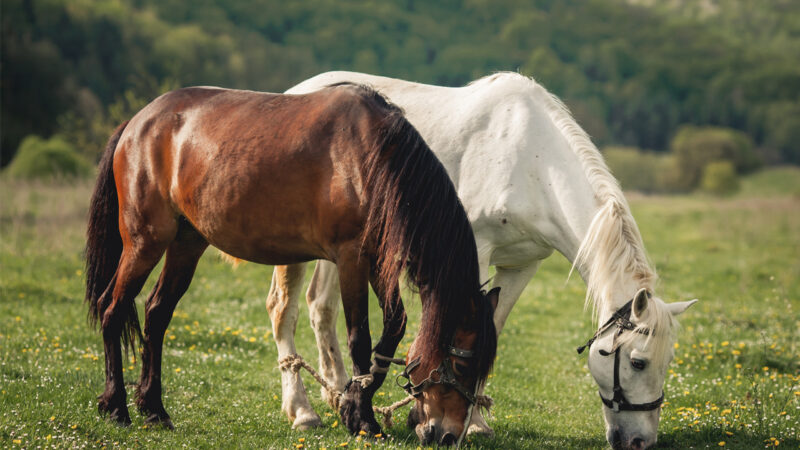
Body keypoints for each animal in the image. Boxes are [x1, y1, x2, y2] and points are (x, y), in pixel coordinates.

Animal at [89, 82, 500, 444]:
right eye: (462, 365)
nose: (447, 435)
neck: (372, 158)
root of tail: (137, 123)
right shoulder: (352, 259)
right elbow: (360, 339)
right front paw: (362, 418)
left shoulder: (378, 261)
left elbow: (393, 328)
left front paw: (354, 403)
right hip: (145, 242)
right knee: (113, 308)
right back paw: (116, 407)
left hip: (186, 245)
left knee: (156, 315)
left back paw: (154, 409)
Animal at [266, 72, 696, 448]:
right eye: (638, 362)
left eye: (669, 361)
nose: (640, 441)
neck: (533, 163)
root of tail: (297, 91)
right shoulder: (473, 254)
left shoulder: (522, 266)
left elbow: (493, 328)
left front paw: (472, 420)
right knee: (283, 309)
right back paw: (303, 411)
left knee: (321, 307)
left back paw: (340, 393)